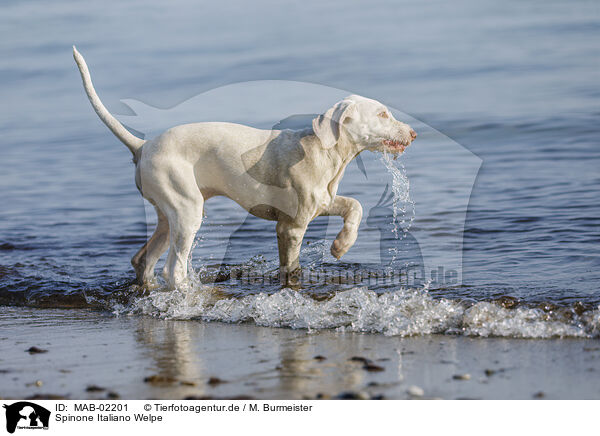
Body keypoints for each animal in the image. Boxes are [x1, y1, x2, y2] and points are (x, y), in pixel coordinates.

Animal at [72, 47, 414, 288]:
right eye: (383, 114)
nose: (413, 133)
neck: (323, 152)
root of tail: (142, 146)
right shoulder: (290, 226)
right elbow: (291, 268)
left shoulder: (323, 201)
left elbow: (355, 205)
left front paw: (341, 246)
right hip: (186, 209)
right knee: (173, 269)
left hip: (167, 214)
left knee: (142, 260)